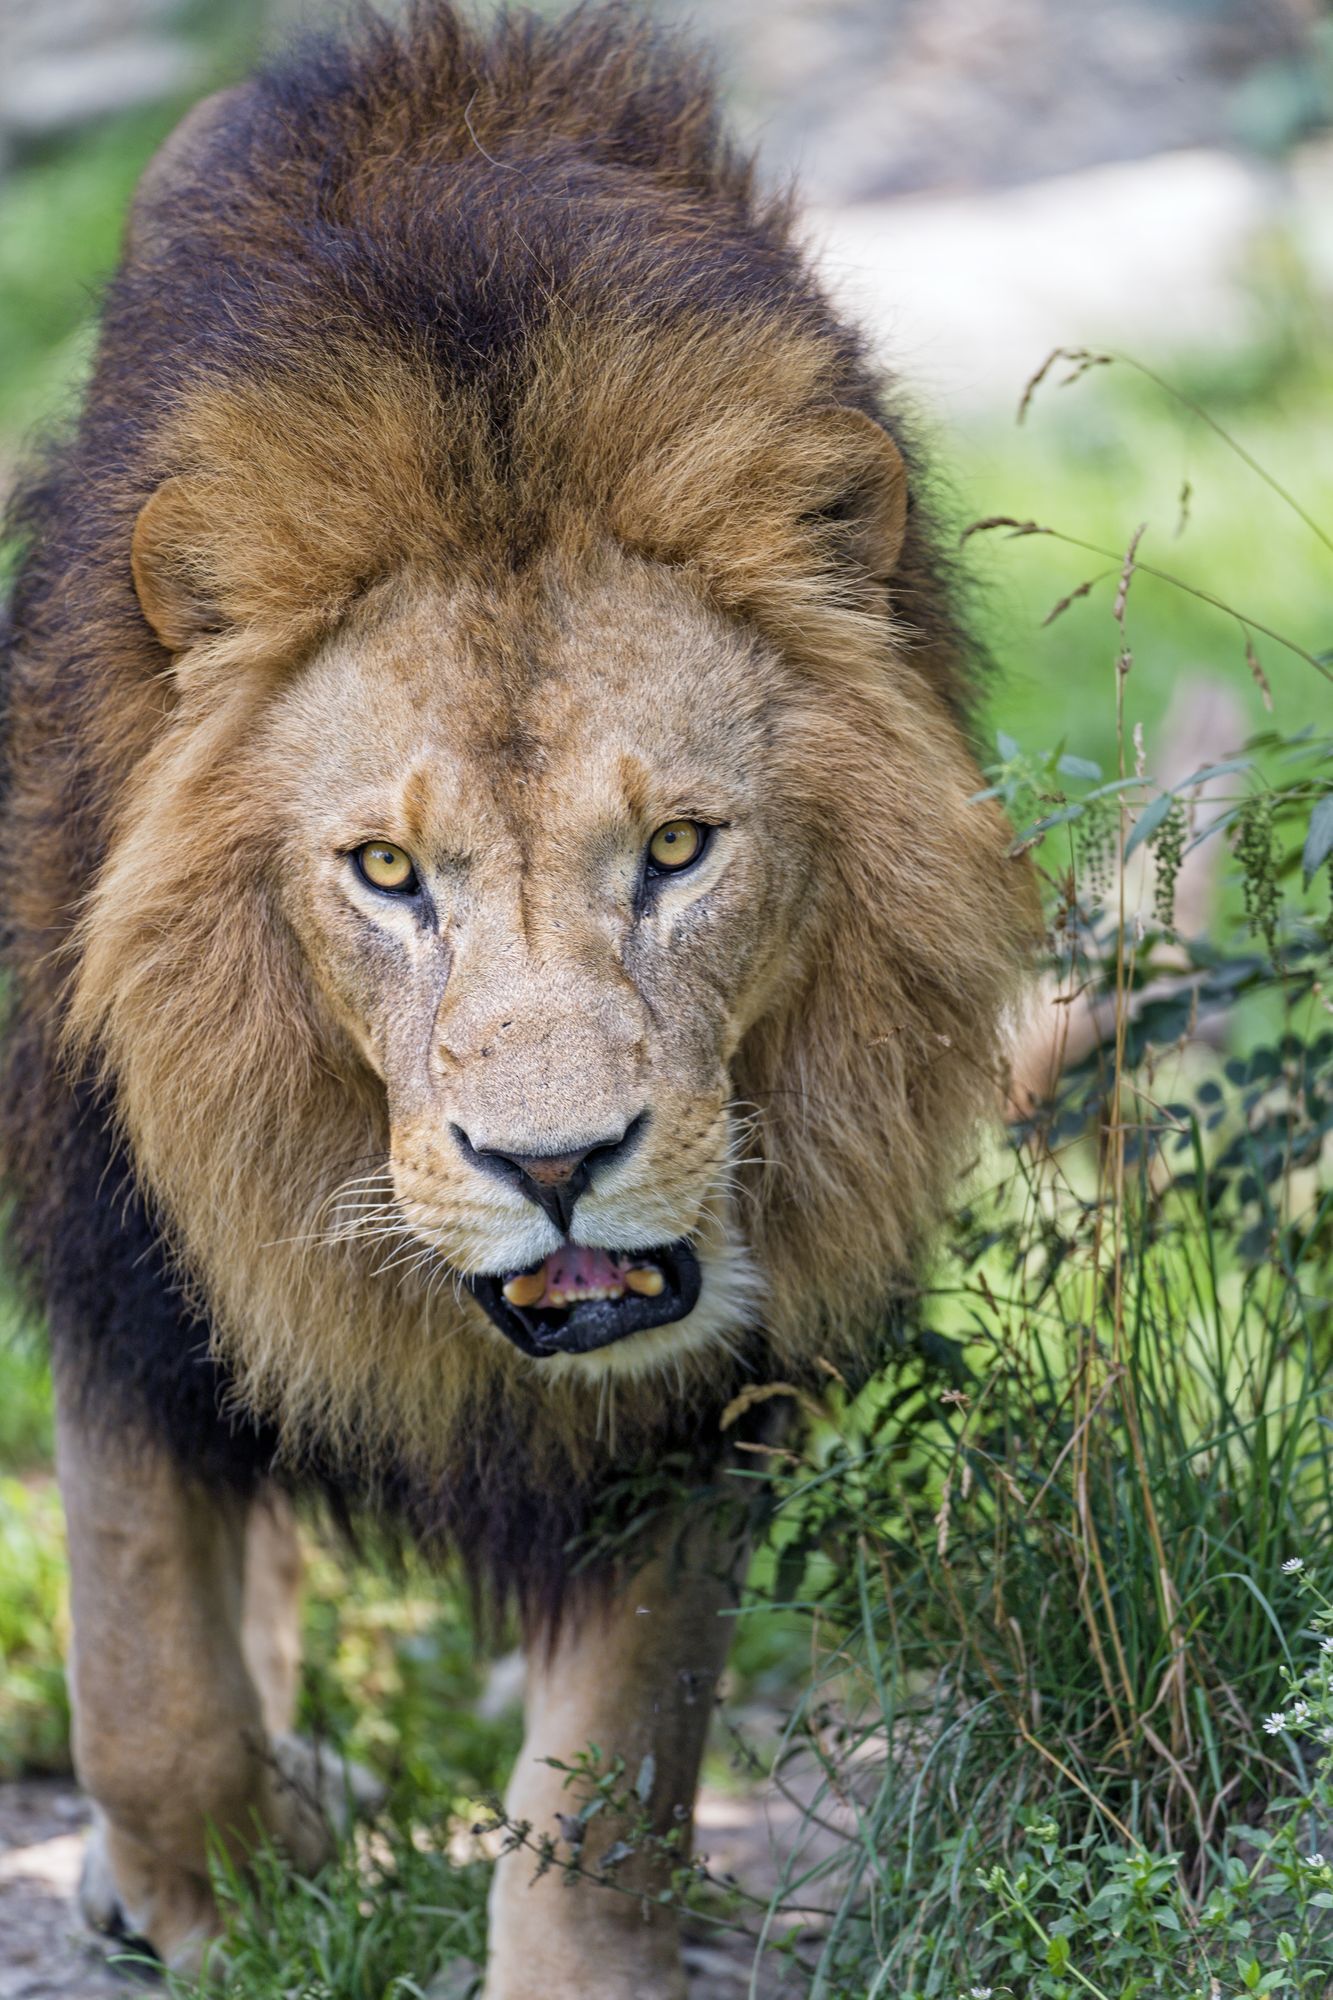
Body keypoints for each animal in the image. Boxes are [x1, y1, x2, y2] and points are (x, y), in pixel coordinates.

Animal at [0, 7, 1032, 1992]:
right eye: (388, 874)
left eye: (680, 849)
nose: (554, 1170)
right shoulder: (125, 1252)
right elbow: (143, 1641)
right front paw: (209, 1889)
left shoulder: (700, 1380)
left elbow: (615, 1756)